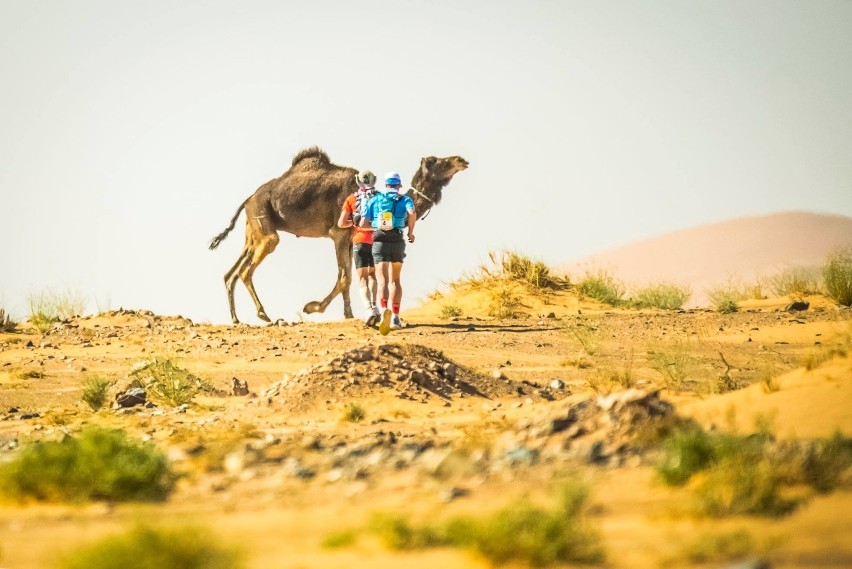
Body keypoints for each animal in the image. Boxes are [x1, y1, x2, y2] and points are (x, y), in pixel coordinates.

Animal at [211, 146, 470, 324]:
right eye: (438, 161)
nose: (462, 160)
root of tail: (248, 199)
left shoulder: (352, 239)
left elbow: (350, 277)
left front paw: (349, 313)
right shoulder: (339, 233)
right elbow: (344, 277)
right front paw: (311, 307)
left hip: (254, 230)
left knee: (230, 272)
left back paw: (236, 318)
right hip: (265, 228)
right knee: (245, 271)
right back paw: (264, 314)